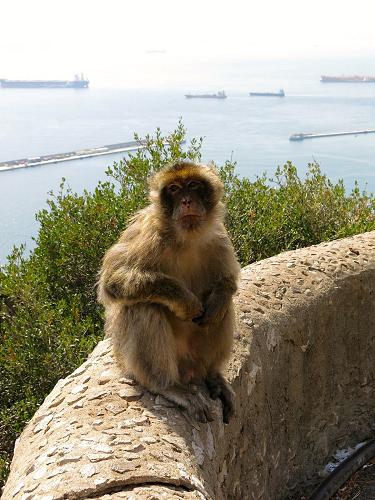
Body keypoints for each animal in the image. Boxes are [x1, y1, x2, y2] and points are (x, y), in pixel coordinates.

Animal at [99, 160, 241, 422]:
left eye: (193, 185)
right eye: (174, 189)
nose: (186, 201)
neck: (186, 237)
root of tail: (189, 371)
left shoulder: (218, 237)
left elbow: (227, 281)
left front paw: (218, 297)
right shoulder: (147, 233)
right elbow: (114, 280)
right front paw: (183, 301)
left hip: (196, 356)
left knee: (223, 310)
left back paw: (213, 375)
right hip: (137, 363)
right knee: (142, 306)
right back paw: (167, 386)